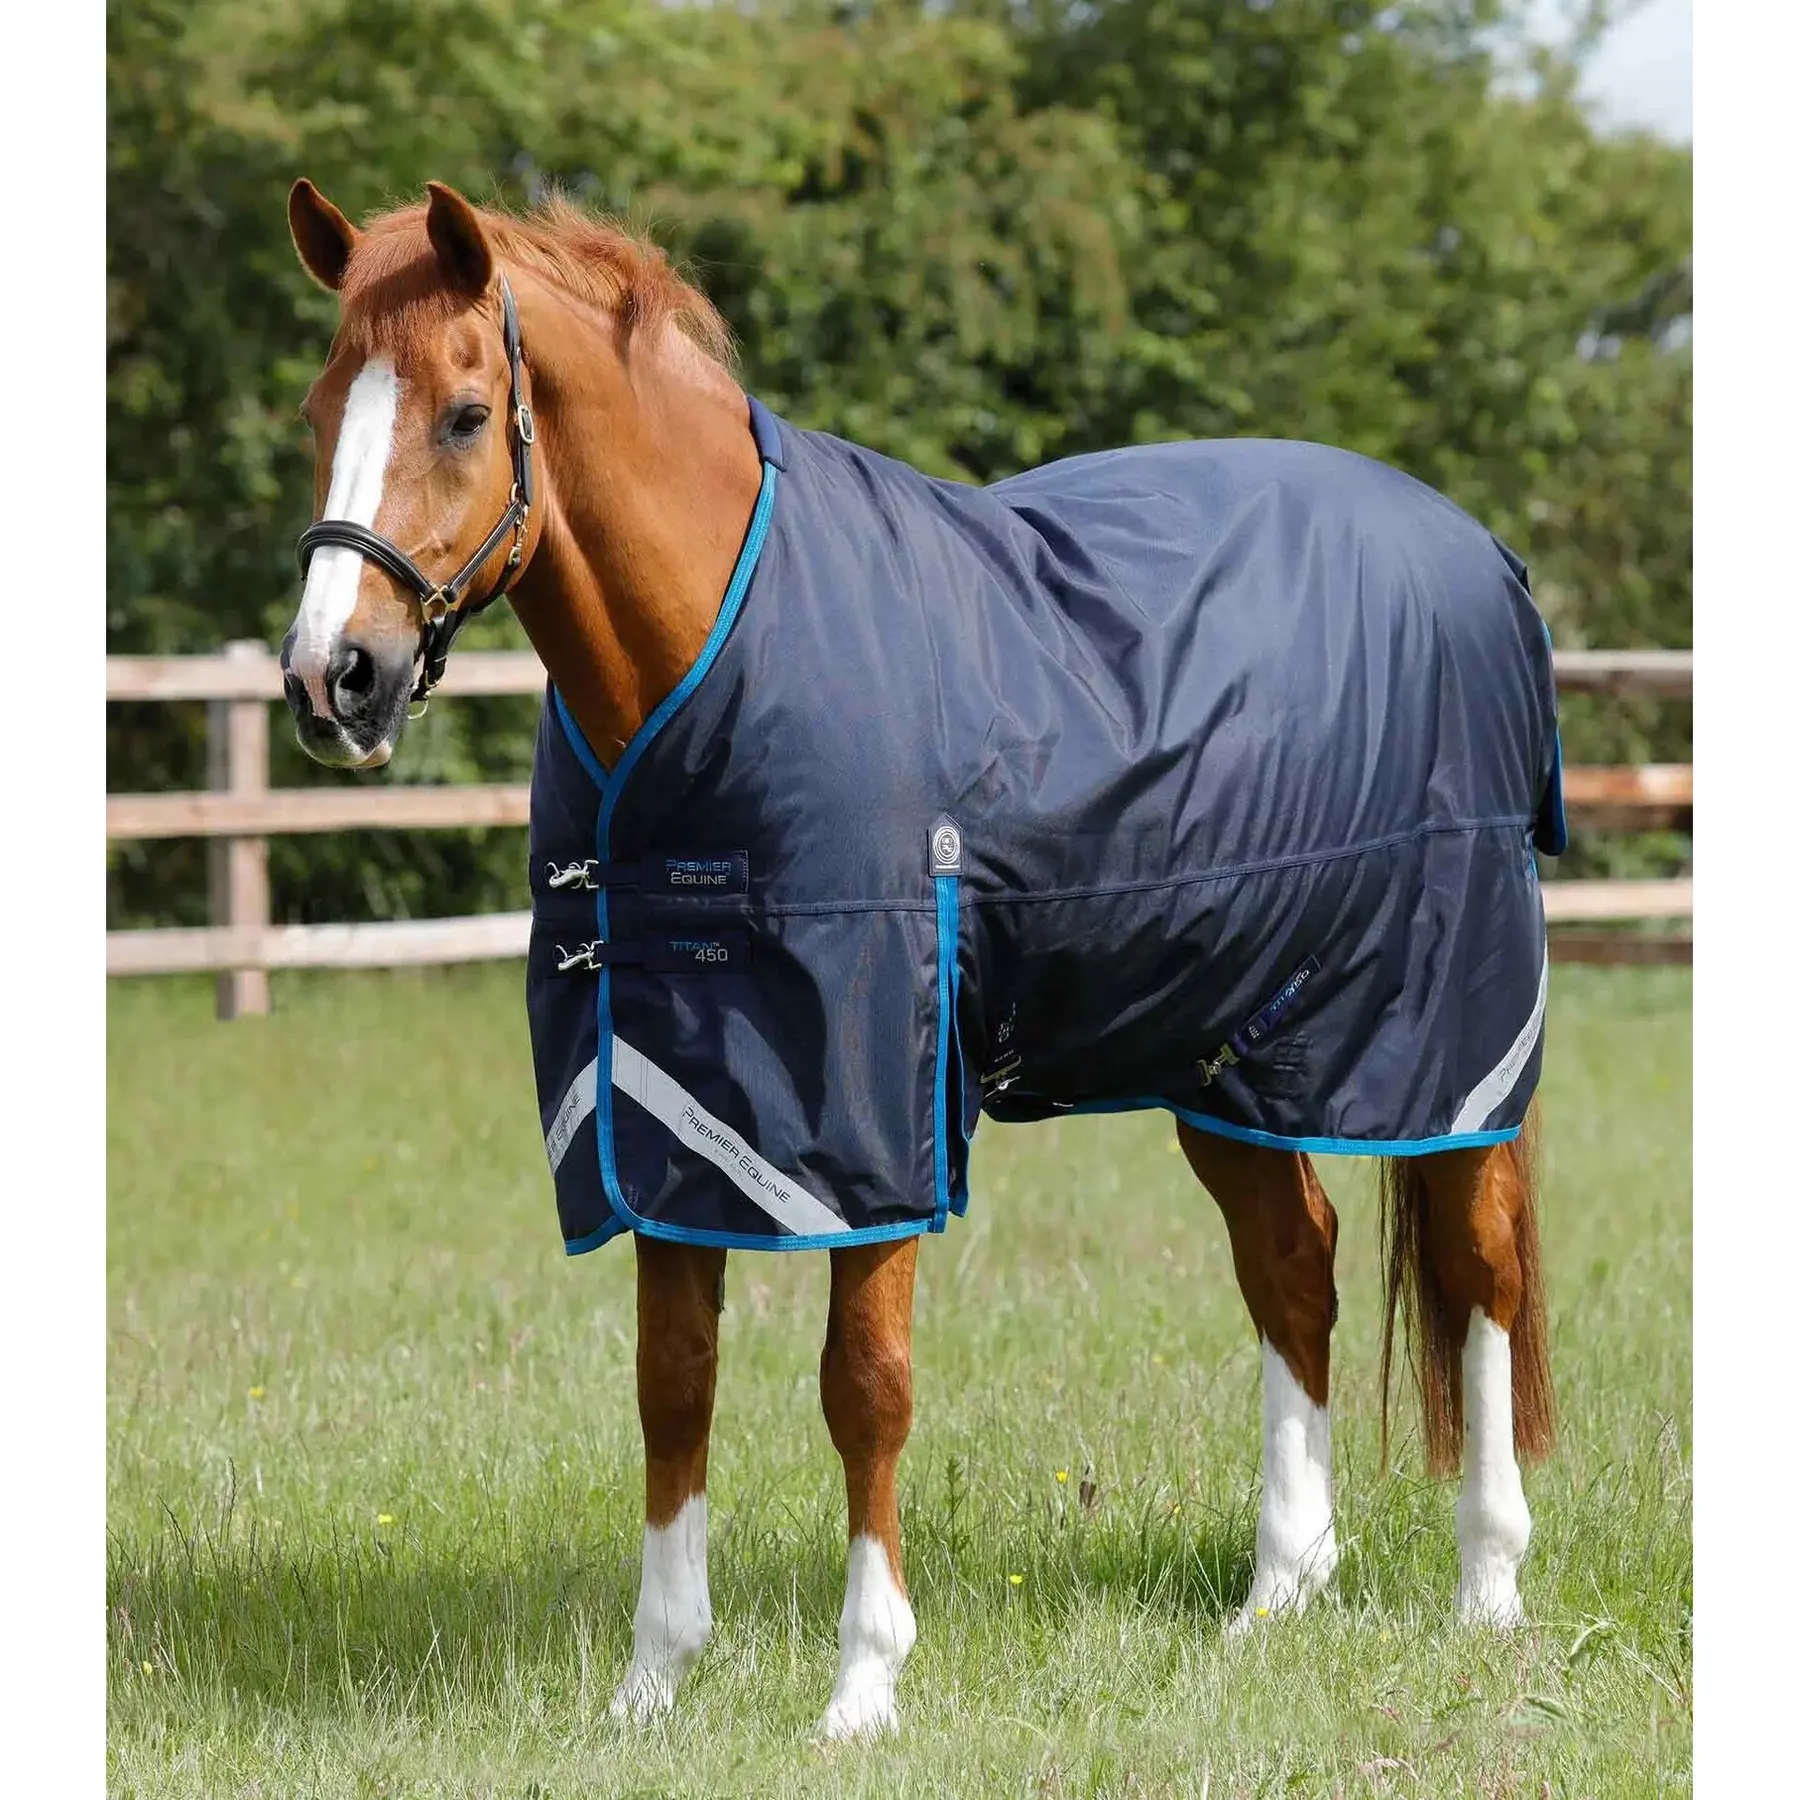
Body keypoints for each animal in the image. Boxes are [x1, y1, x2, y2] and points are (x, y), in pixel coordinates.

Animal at [278, 179, 1557, 1740]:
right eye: (320, 406)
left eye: (466, 414)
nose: (331, 677)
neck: (717, 650)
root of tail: (1479, 556)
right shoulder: (669, 1100)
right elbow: (673, 1384)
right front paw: (652, 1686)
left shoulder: (870, 1112)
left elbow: (864, 1387)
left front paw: (863, 1686)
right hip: (1228, 1050)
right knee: (1292, 1266)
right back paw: (1280, 1593)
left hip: (1447, 1042)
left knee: (1480, 1271)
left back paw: (1487, 1587)